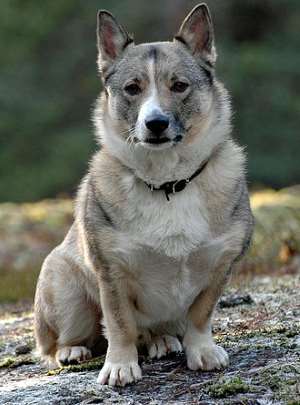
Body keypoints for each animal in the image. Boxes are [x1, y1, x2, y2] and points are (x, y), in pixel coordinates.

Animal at [34, 4, 253, 386]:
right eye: (132, 88)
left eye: (179, 86)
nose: (156, 123)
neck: (168, 183)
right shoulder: (112, 272)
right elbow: (120, 324)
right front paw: (120, 366)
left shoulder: (221, 264)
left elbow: (200, 314)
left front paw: (202, 350)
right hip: (64, 290)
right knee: (60, 342)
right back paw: (72, 350)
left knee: (154, 331)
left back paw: (162, 340)